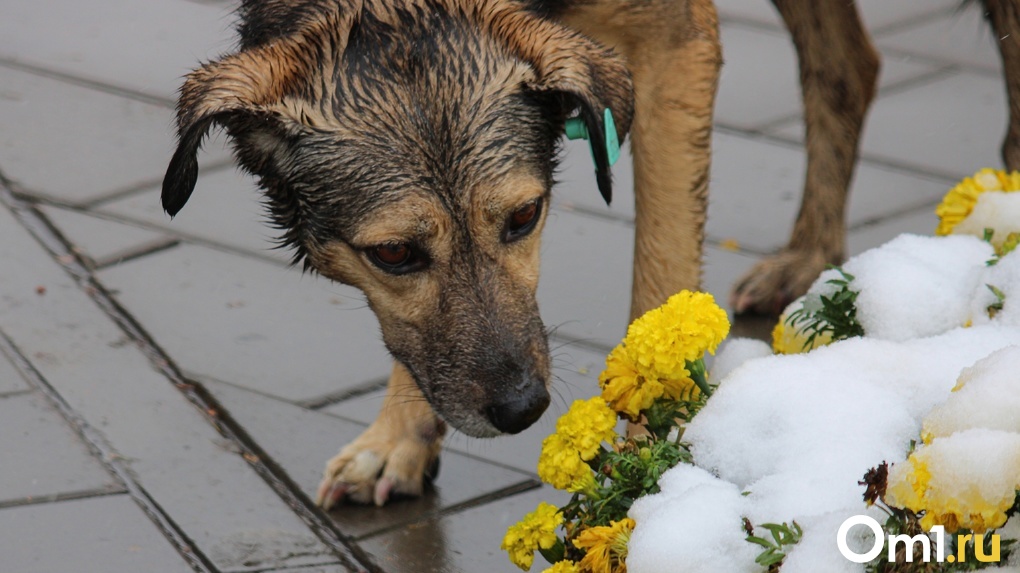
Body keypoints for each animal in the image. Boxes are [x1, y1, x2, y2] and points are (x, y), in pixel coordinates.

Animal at [161, 1, 1020, 507]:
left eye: (525, 215)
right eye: (395, 253)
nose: (521, 409)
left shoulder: (677, 43)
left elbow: (659, 277)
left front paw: (653, 475)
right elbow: (413, 338)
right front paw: (397, 434)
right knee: (848, 65)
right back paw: (809, 253)